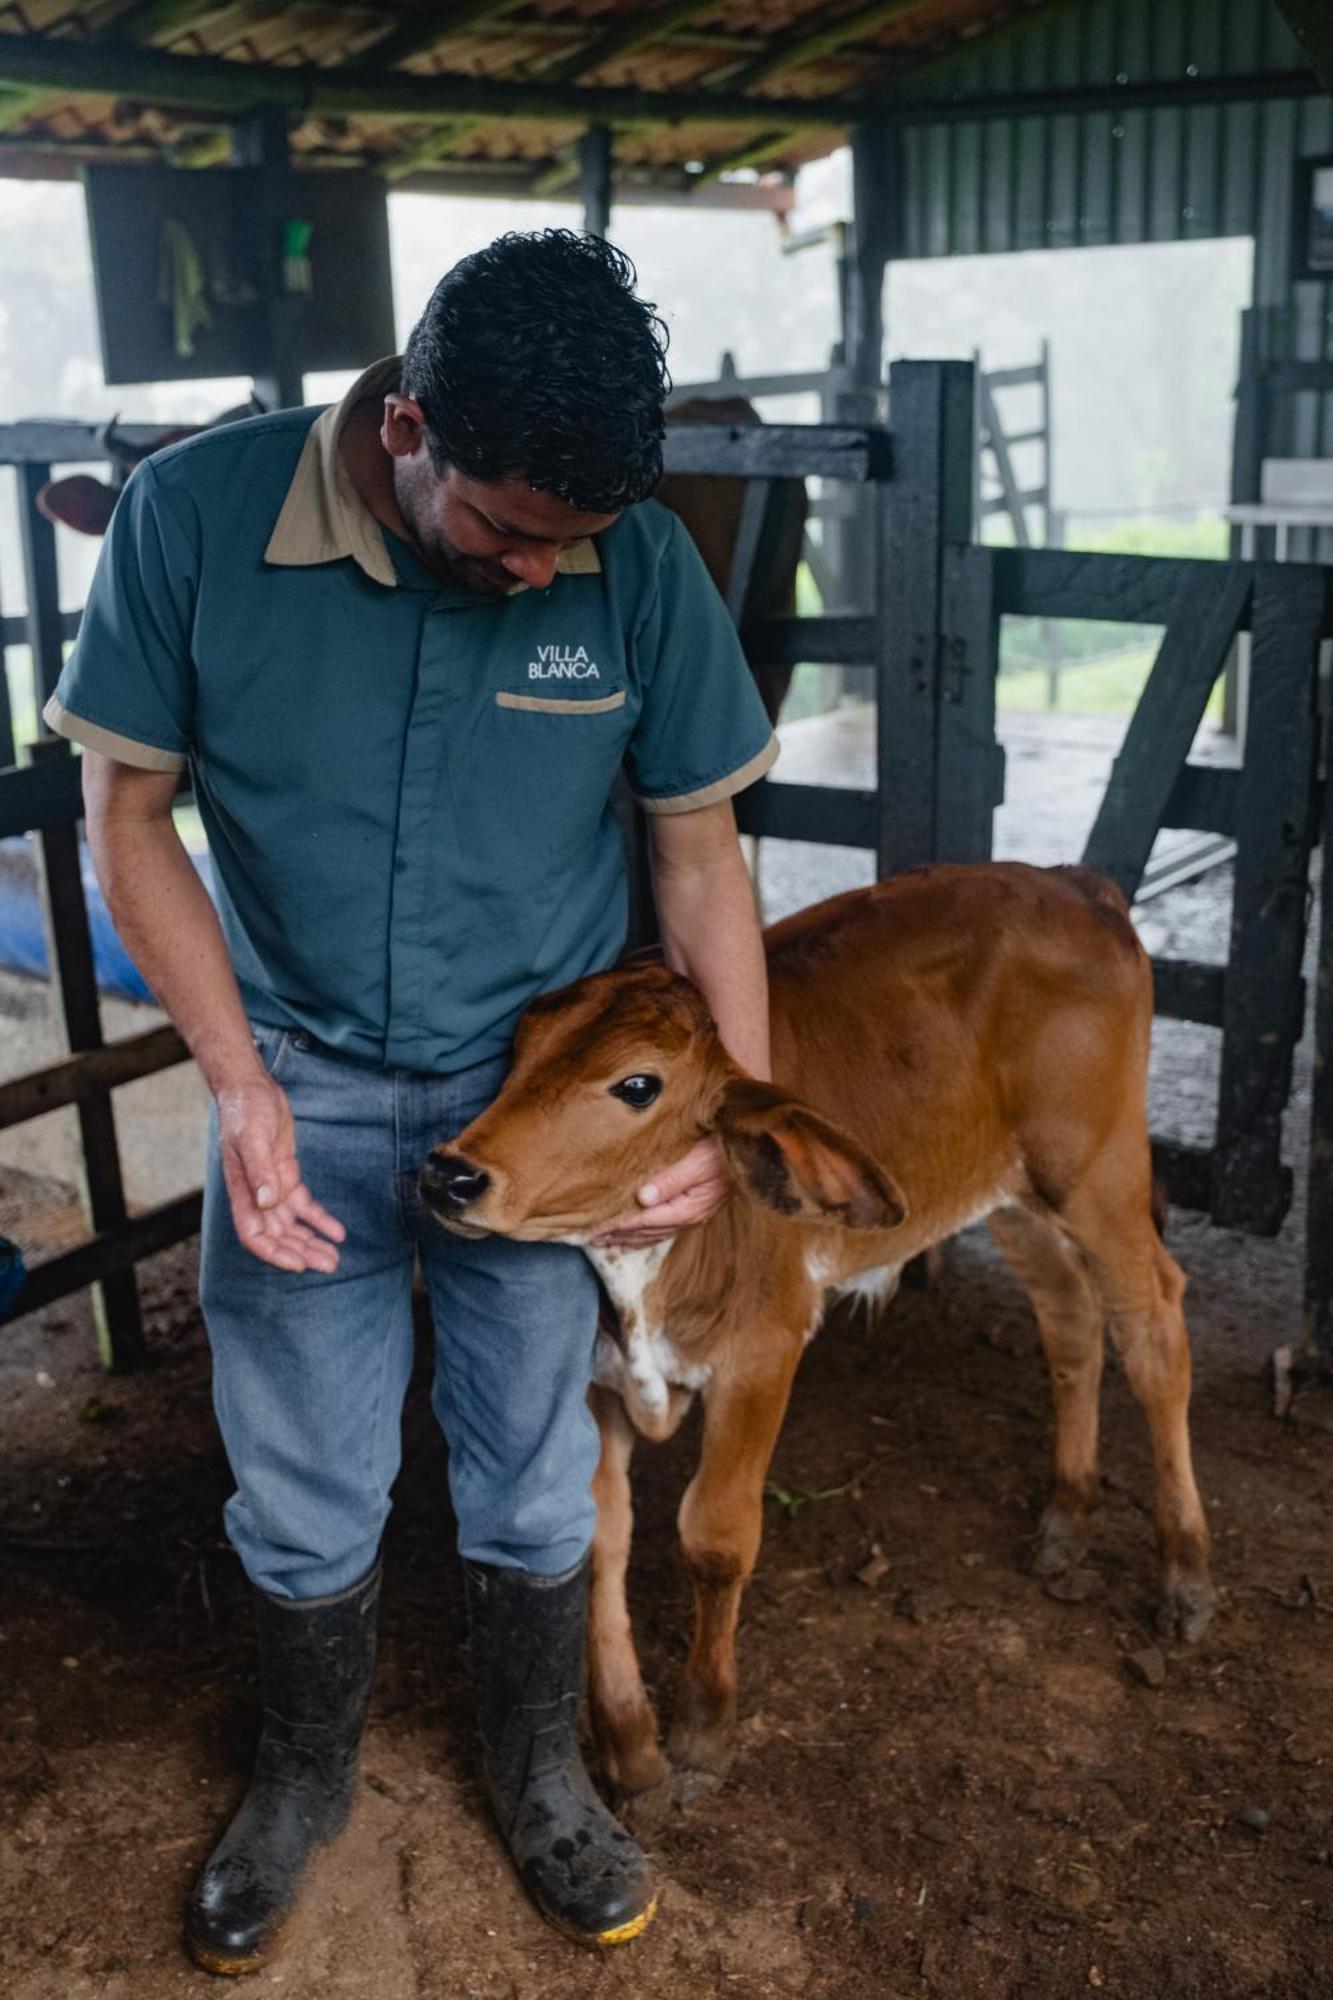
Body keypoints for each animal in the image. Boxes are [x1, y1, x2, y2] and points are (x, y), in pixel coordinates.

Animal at [418, 868, 1216, 1808]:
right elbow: (599, 1536)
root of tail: (1071, 883)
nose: (451, 1173)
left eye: (638, 1085)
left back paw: (1185, 1573)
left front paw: (702, 1733)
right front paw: (628, 1746)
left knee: (1153, 1330)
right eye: (522, 1045)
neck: (649, 1272)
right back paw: (1065, 1515)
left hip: (1098, 1172)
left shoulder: (763, 1353)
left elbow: (716, 1536)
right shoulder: (596, 1377)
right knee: (1069, 1318)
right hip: (1010, 1194)